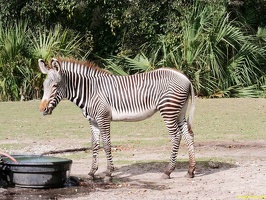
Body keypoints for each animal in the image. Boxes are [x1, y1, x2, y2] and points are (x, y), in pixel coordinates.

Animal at [38, 57, 195, 182]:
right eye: (44, 86)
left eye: (55, 86)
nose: (42, 110)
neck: (90, 91)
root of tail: (185, 78)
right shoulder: (93, 121)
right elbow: (94, 145)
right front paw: (91, 173)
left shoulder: (103, 118)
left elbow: (107, 145)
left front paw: (108, 174)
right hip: (179, 111)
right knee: (188, 135)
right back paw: (190, 170)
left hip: (168, 110)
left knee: (176, 136)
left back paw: (168, 171)